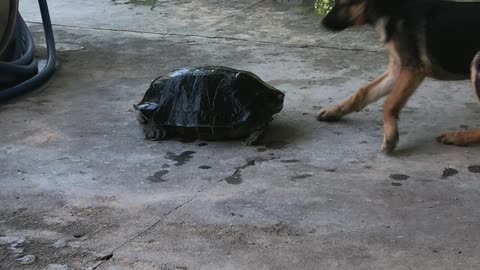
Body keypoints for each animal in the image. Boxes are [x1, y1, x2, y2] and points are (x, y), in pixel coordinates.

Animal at [318, 0, 480, 153]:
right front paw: (334, 111)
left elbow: (389, 103)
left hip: (476, 62)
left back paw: (457, 137)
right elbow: (363, 92)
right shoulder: (396, 70)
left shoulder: (412, 69)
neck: (391, 9)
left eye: (343, 3)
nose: (322, 23)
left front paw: (390, 135)